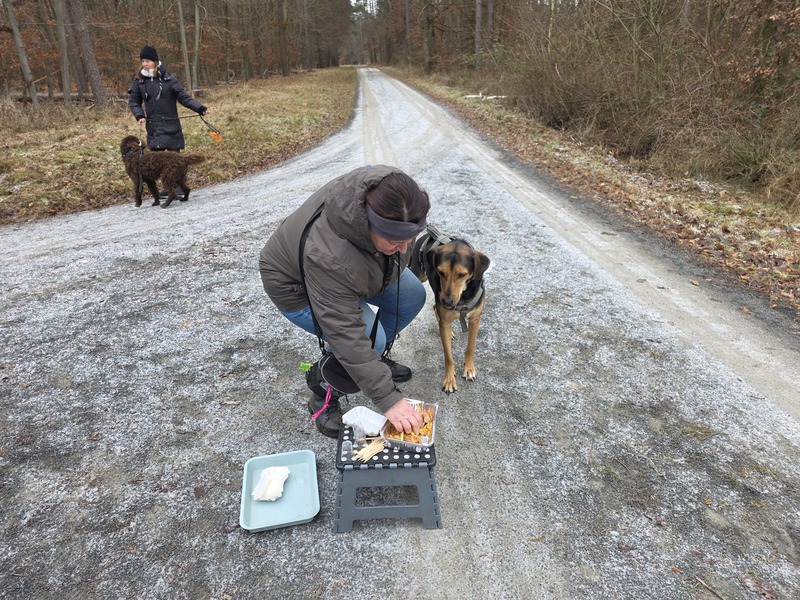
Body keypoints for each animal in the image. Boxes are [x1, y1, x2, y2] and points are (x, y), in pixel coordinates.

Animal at [410, 225, 490, 394]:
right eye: (441, 272)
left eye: (461, 274)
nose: (447, 302)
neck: (463, 296)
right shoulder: (445, 321)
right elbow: (448, 356)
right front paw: (449, 380)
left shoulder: (475, 319)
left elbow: (470, 347)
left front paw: (469, 369)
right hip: (419, 276)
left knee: (435, 306)